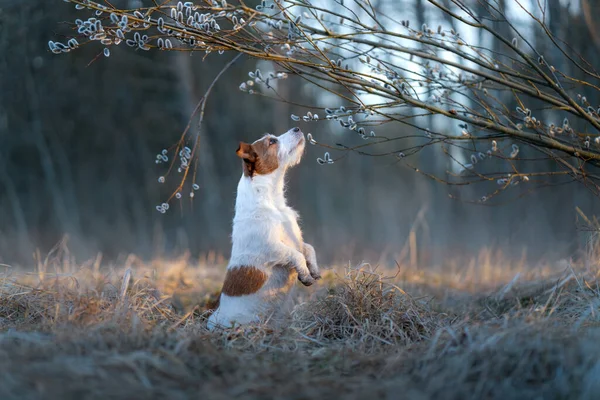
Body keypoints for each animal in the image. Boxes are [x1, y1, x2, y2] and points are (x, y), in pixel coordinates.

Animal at [206, 126, 318, 330]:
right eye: (271, 141)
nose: (297, 128)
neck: (271, 199)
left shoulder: (296, 240)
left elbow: (308, 248)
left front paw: (313, 268)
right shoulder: (270, 248)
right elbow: (296, 255)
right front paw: (305, 275)